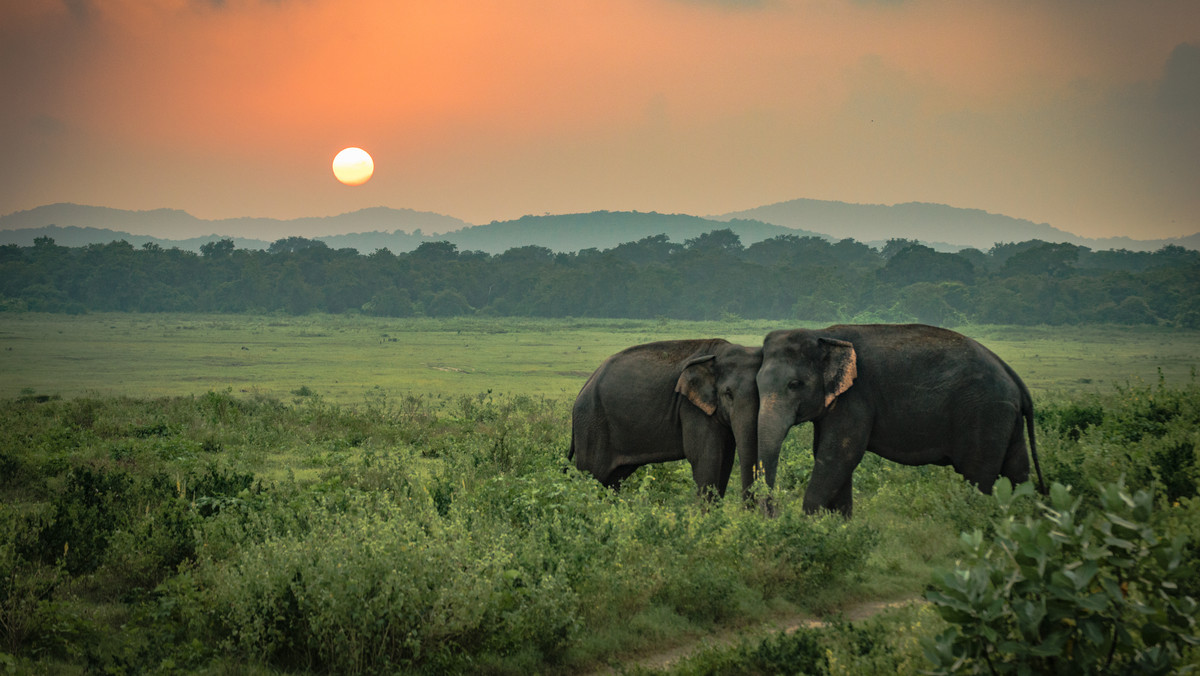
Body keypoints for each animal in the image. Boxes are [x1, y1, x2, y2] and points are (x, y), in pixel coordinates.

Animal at [568, 341, 758, 499]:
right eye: (728, 394)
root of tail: (584, 387)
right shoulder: (691, 408)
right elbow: (706, 457)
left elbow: (726, 460)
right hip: (591, 424)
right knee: (591, 475)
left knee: (612, 480)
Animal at [753, 324, 1046, 516]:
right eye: (756, 383)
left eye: (794, 384)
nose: (773, 512)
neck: (822, 334)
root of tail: (1013, 376)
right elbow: (831, 457)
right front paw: (839, 526)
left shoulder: (856, 398)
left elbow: (838, 456)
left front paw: (809, 524)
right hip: (1005, 418)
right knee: (1017, 470)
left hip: (985, 414)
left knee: (978, 476)